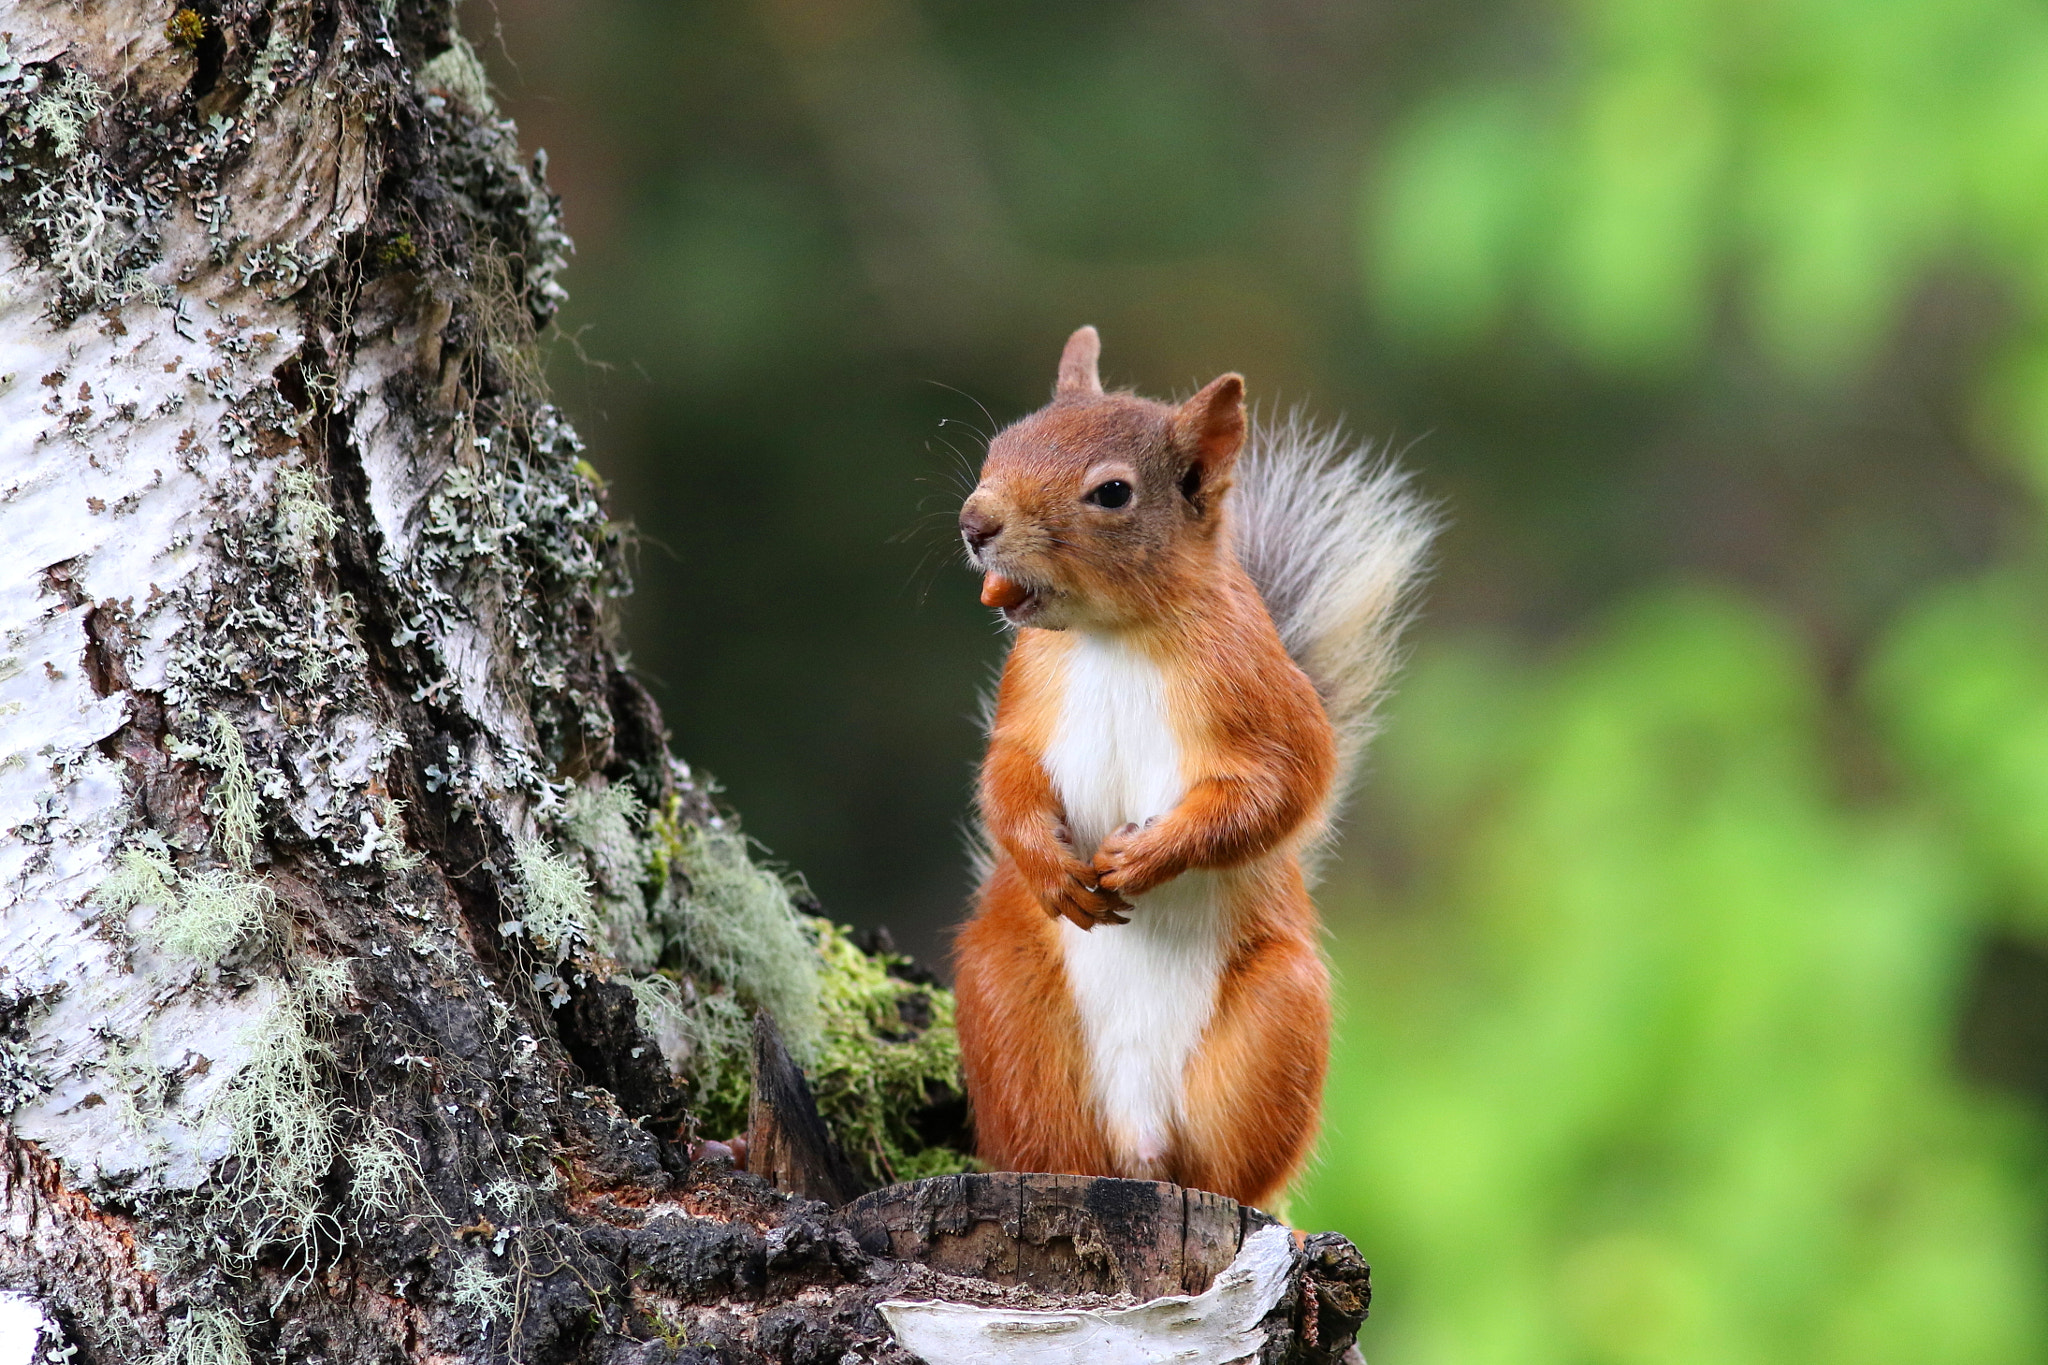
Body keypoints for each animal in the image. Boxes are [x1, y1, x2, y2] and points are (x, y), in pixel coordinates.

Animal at [951, 326, 1435, 1209]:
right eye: (1002, 445)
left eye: (1112, 492)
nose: (976, 522)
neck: (1113, 636)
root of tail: (1140, 1145)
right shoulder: (1025, 694)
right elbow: (1005, 779)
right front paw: (1052, 867)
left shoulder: (1262, 692)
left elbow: (1280, 789)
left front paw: (1146, 855)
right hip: (1007, 1013)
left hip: (1278, 1022)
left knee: (1231, 1173)